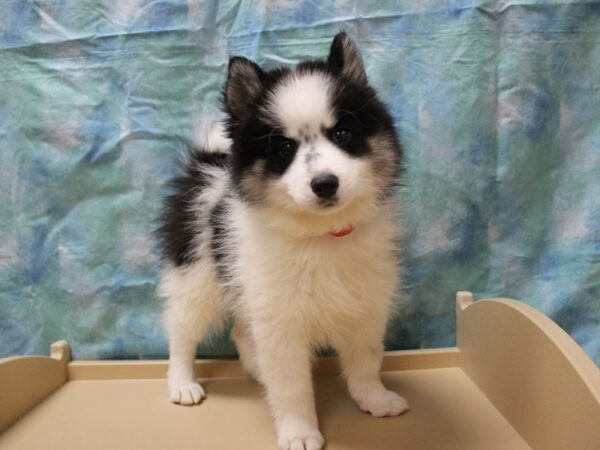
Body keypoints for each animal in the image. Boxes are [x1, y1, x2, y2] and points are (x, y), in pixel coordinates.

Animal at [156, 32, 408, 450]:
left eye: (342, 134)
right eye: (285, 148)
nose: (324, 183)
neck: (322, 234)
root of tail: (208, 164)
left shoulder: (365, 305)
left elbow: (365, 361)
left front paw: (374, 399)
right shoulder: (282, 323)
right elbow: (292, 387)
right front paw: (299, 431)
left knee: (242, 330)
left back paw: (257, 370)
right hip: (197, 277)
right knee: (182, 331)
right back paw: (182, 383)